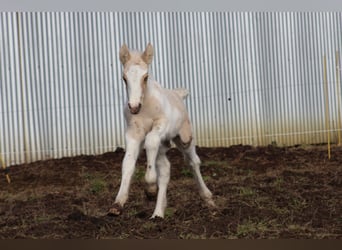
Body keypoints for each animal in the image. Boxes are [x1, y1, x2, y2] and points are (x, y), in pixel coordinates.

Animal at [108, 43, 215, 219]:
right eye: (124, 78)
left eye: (145, 77)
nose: (134, 107)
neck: (145, 107)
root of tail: (178, 94)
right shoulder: (133, 132)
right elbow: (128, 162)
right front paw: (117, 204)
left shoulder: (161, 126)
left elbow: (151, 141)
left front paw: (150, 186)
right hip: (163, 146)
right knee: (165, 169)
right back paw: (158, 212)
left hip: (184, 138)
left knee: (193, 162)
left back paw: (208, 198)